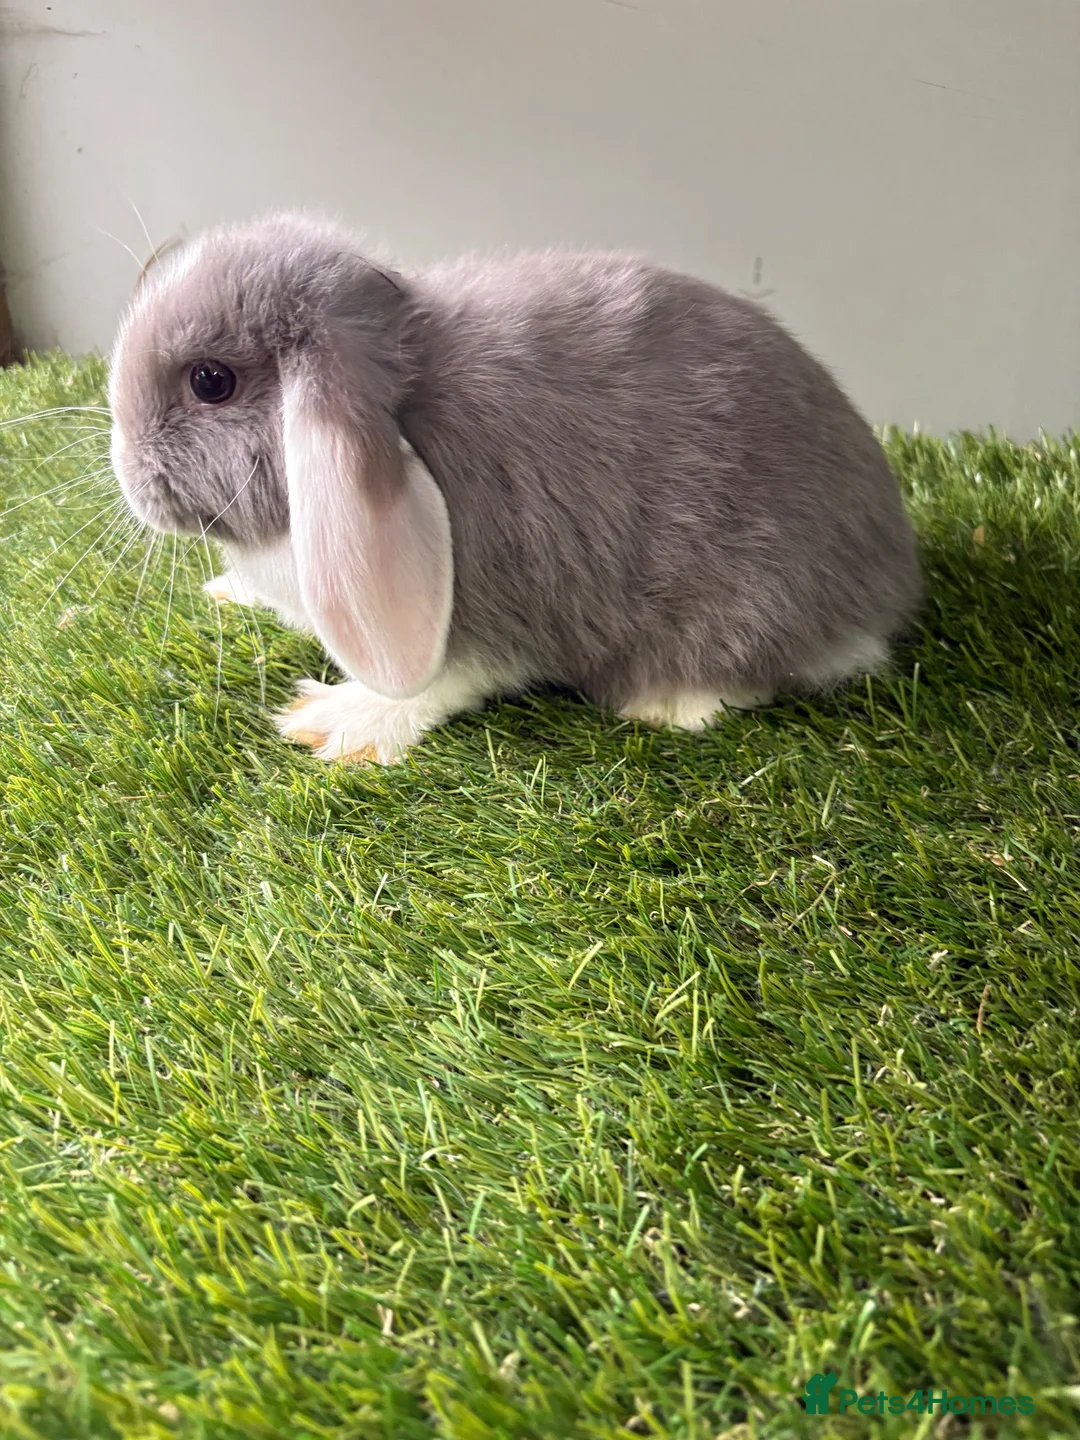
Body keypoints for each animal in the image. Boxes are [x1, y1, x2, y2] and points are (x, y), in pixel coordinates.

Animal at [108, 211, 921, 765]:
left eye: (211, 381)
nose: (127, 471)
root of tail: (891, 579)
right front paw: (229, 593)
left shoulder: (498, 605)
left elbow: (440, 683)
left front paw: (335, 723)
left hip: (745, 605)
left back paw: (665, 704)